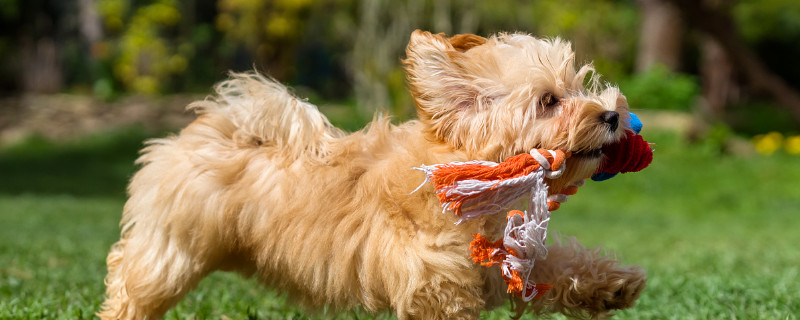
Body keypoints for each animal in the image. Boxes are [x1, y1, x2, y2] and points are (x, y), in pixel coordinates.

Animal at [97, 30, 648, 320]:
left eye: (579, 85)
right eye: (549, 101)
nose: (612, 115)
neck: (461, 171)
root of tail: (212, 126)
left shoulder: (497, 259)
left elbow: (554, 265)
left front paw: (613, 284)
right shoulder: (434, 280)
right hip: (176, 247)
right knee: (133, 275)